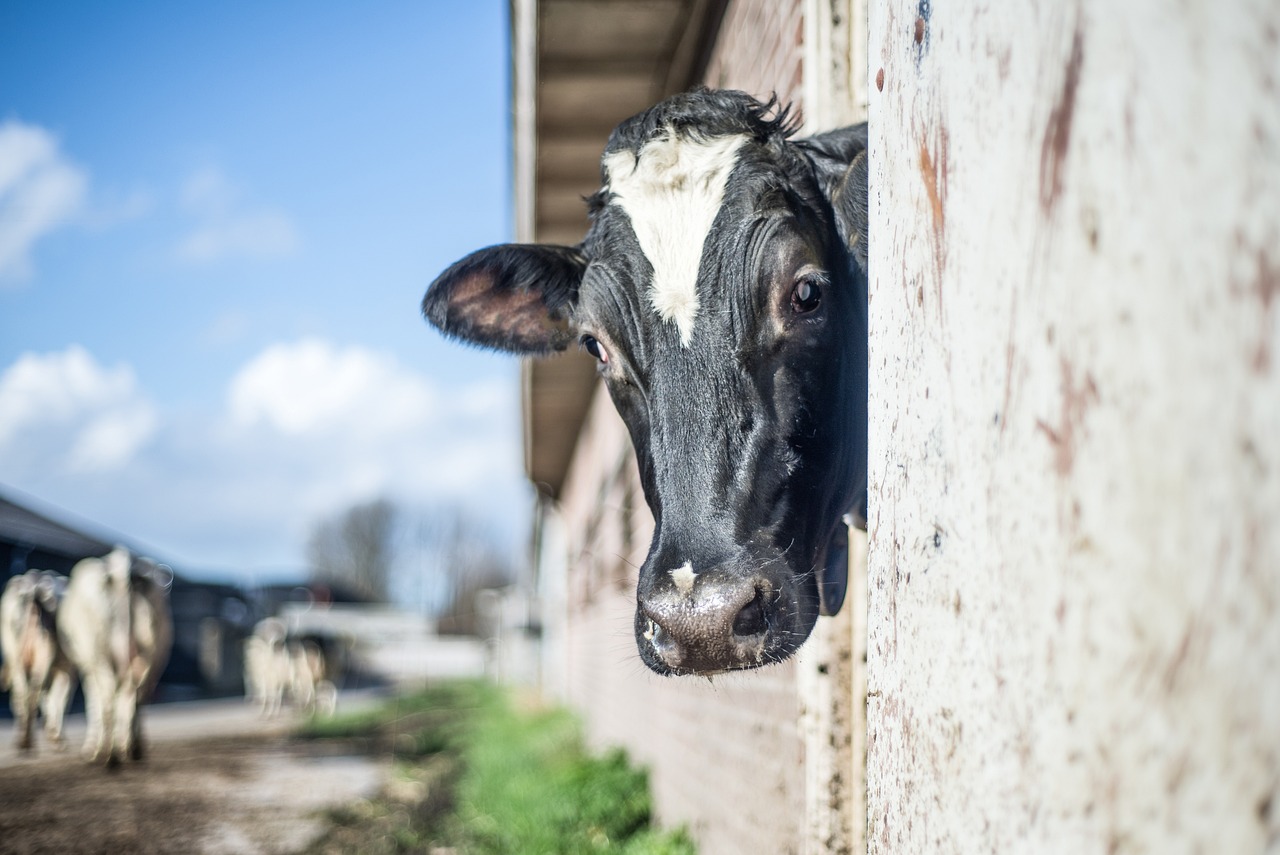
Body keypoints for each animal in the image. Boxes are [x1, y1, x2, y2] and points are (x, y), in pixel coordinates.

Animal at [0, 570, 74, 752]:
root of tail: (34, 583)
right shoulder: (68, 668)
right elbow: (60, 698)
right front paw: (56, 737)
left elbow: (52, 698)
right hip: (43, 652)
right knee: (33, 692)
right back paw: (28, 741)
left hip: (16, 651)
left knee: (22, 693)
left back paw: (23, 741)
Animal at [57, 545, 174, 762]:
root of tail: (122, 565)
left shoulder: (88, 666)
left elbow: (93, 701)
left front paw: (91, 748)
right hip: (153, 654)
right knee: (137, 695)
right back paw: (133, 748)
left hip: (99, 650)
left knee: (108, 696)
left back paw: (109, 756)